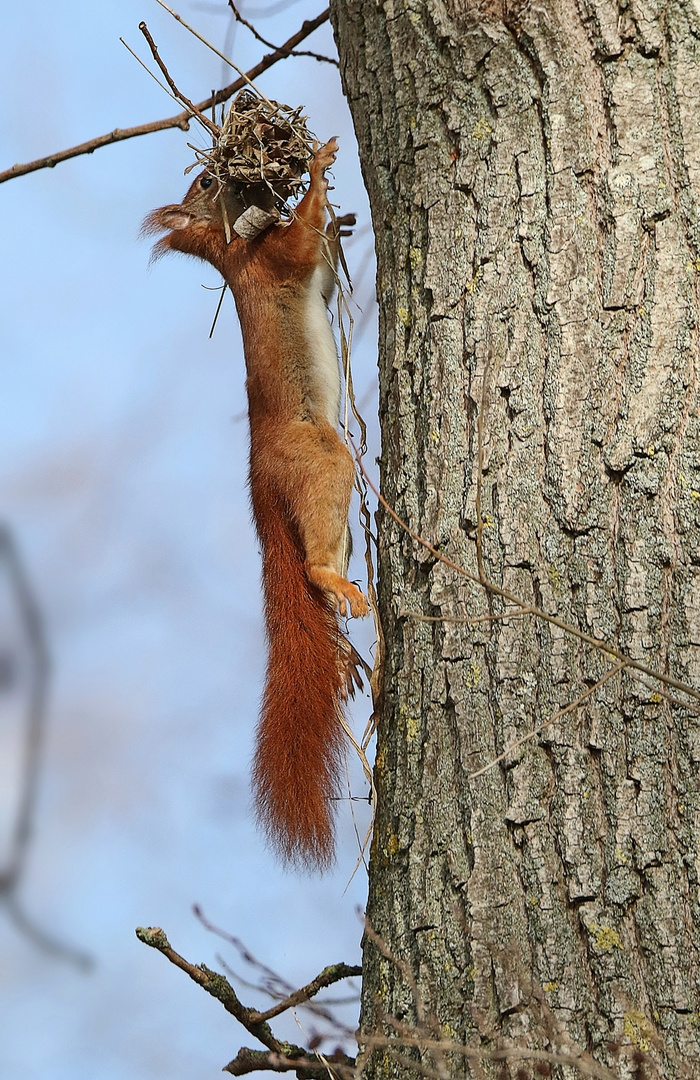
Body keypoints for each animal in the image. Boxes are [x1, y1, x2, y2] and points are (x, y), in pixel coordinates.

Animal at [144, 139, 369, 872]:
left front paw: (340, 224)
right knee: (317, 556)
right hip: (321, 460)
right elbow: (298, 246)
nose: (223, 170)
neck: (232, 244)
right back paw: (335, 586)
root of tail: (261, 486)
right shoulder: (270, 262)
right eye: (205, 182)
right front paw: (321, 171)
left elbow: (321, 270)